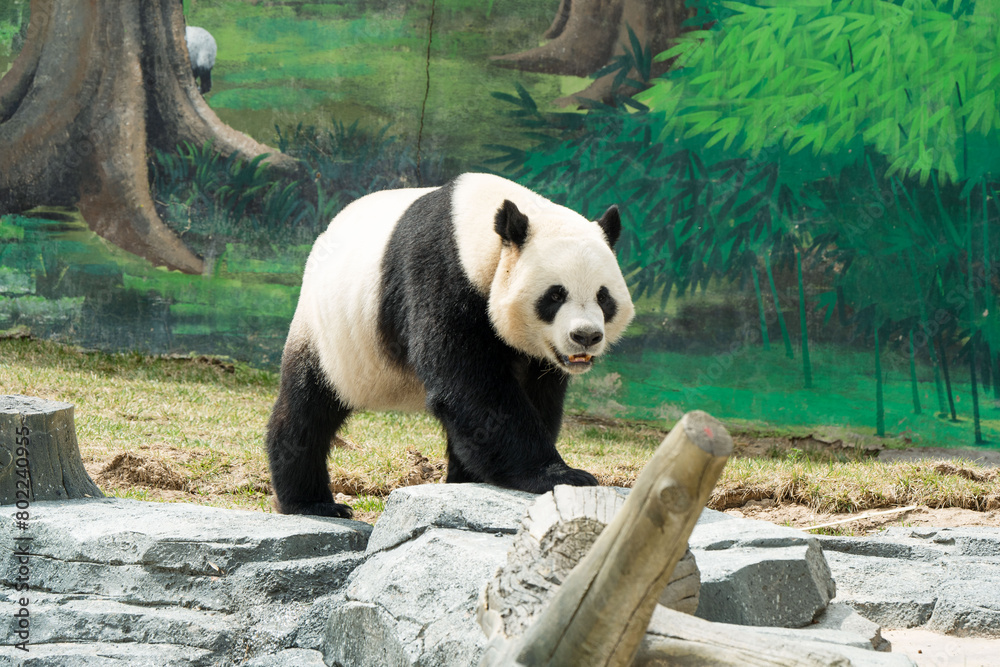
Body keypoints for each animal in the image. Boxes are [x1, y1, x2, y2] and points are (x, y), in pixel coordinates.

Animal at [266, 173, 635, 517]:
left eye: (603, 297)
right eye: (556, 295)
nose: (585, 336)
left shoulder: (537, 354)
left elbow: (533, 395)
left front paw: (480, 475)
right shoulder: (440, 273)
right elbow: (471, 385)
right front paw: (560, 475)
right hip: (330, 333)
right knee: (309, 406)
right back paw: (310, 502)